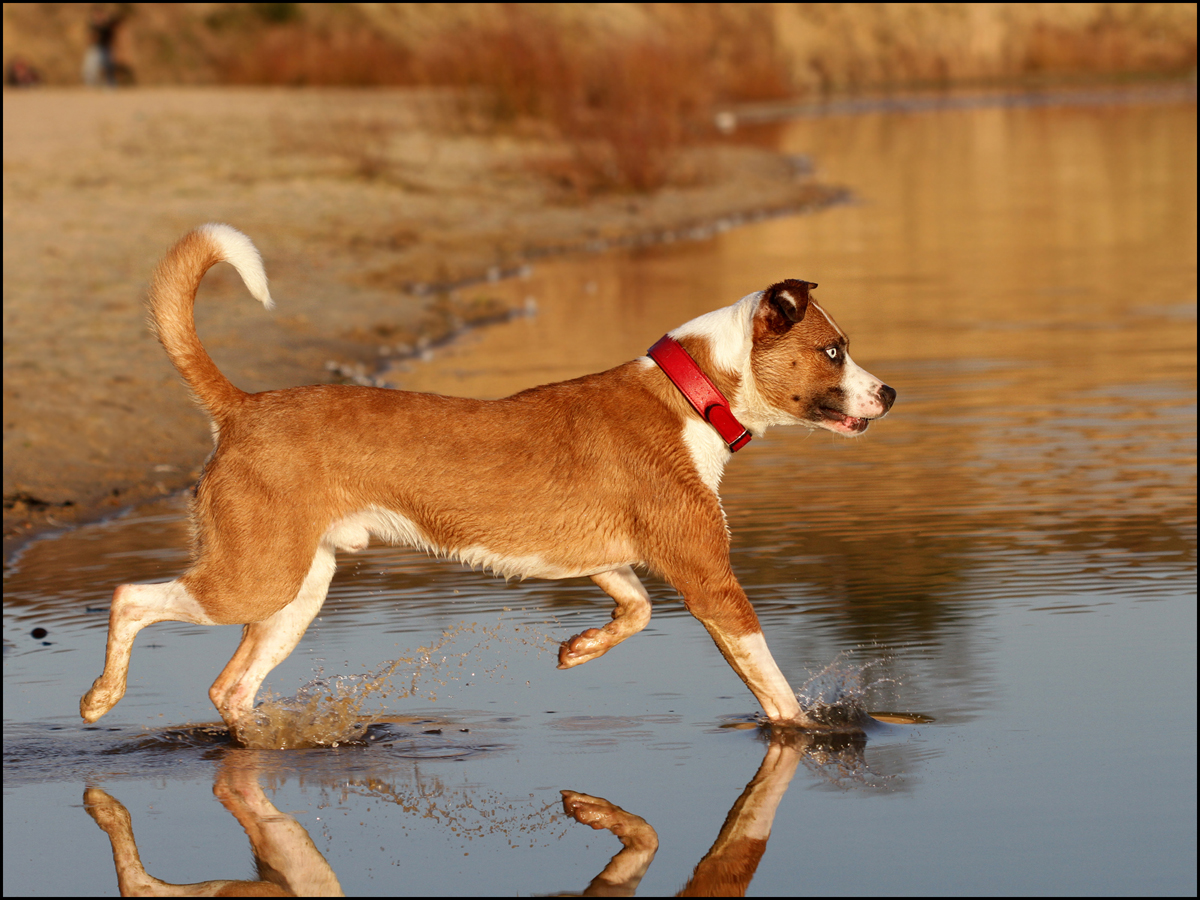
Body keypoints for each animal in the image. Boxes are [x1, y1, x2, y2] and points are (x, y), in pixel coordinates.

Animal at [79, 225, 897, 739]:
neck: (693, 393)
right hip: (256, 578)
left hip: (296, 593)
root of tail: (241, 407)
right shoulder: (709, 579)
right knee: (128, 598)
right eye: (834, 350)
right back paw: (100, 698)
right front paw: (807, 733)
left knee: (230, 688)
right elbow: (772, 686)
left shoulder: (607, 559)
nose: (889, 394)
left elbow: (634, 611)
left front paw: (581, 648)